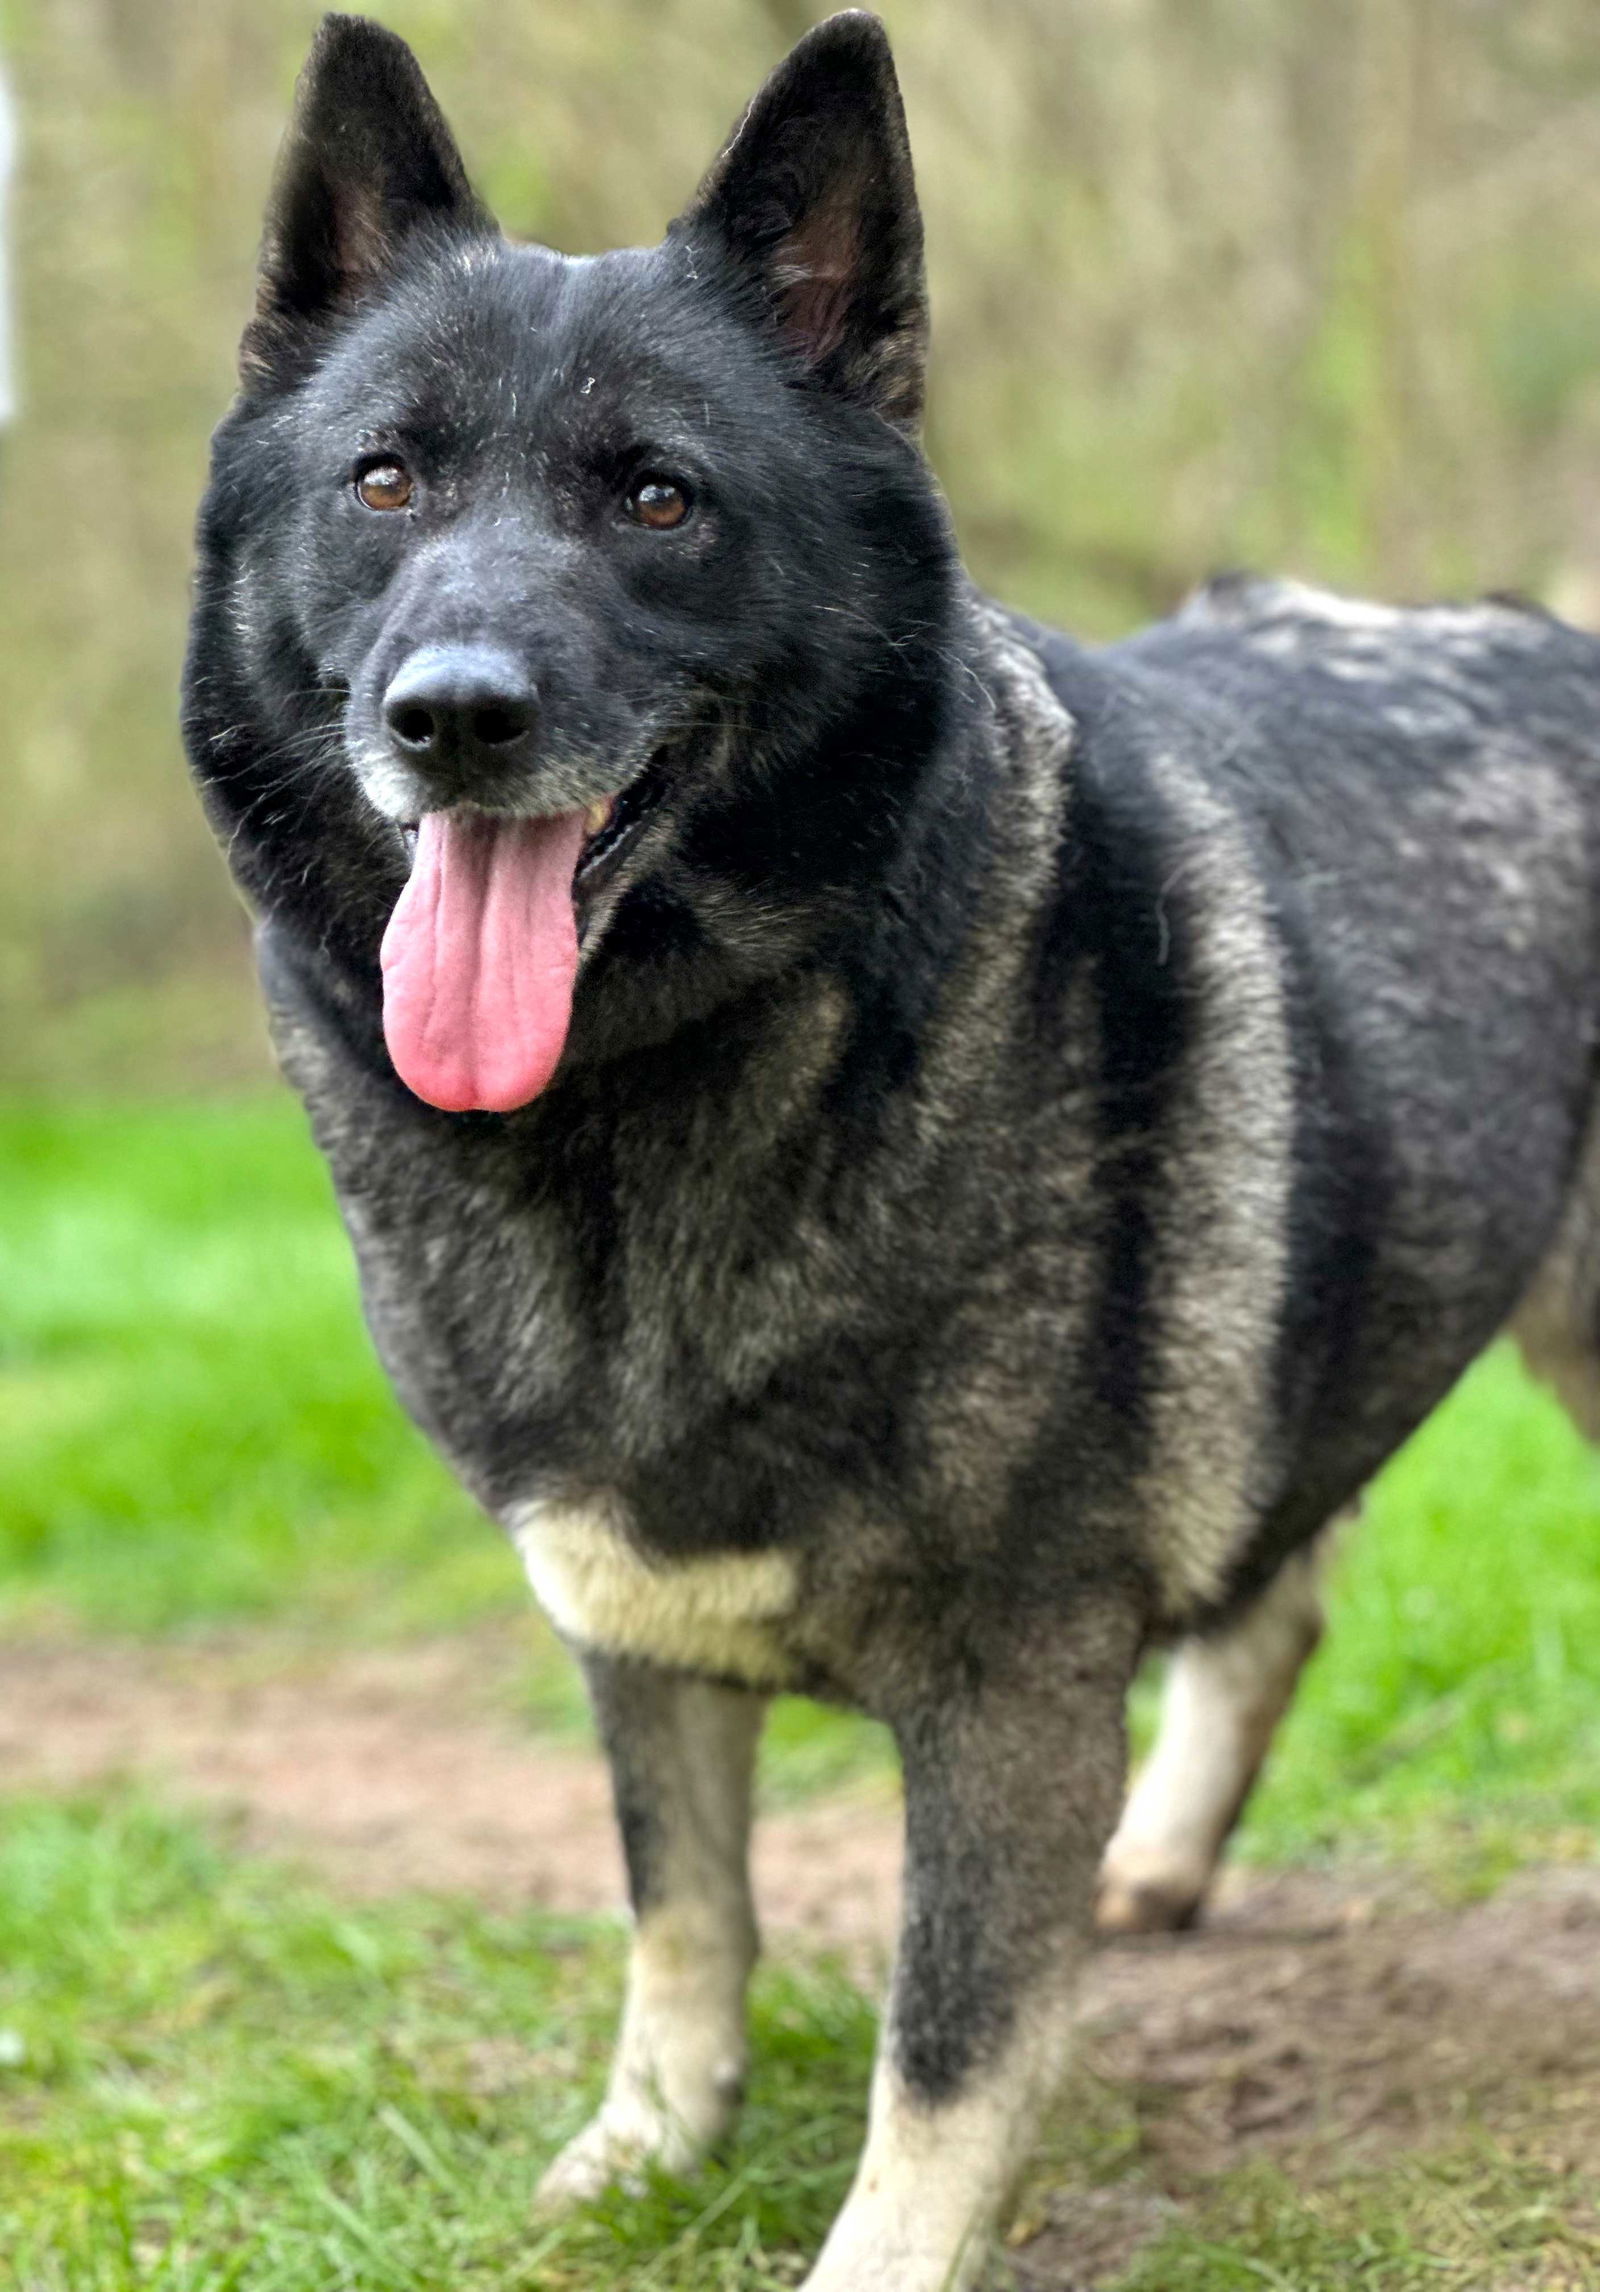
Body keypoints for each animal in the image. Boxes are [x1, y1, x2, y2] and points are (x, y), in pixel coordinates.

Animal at [181, 8, 1595, 2282]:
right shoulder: (629, 1632)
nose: (453, 716)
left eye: (657, 498)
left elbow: (943, 2050)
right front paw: (643, 2155)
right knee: (1276, 1593)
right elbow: (684, 1917)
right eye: (382, 483)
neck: (648, 1105)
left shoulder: (1006, 1699)